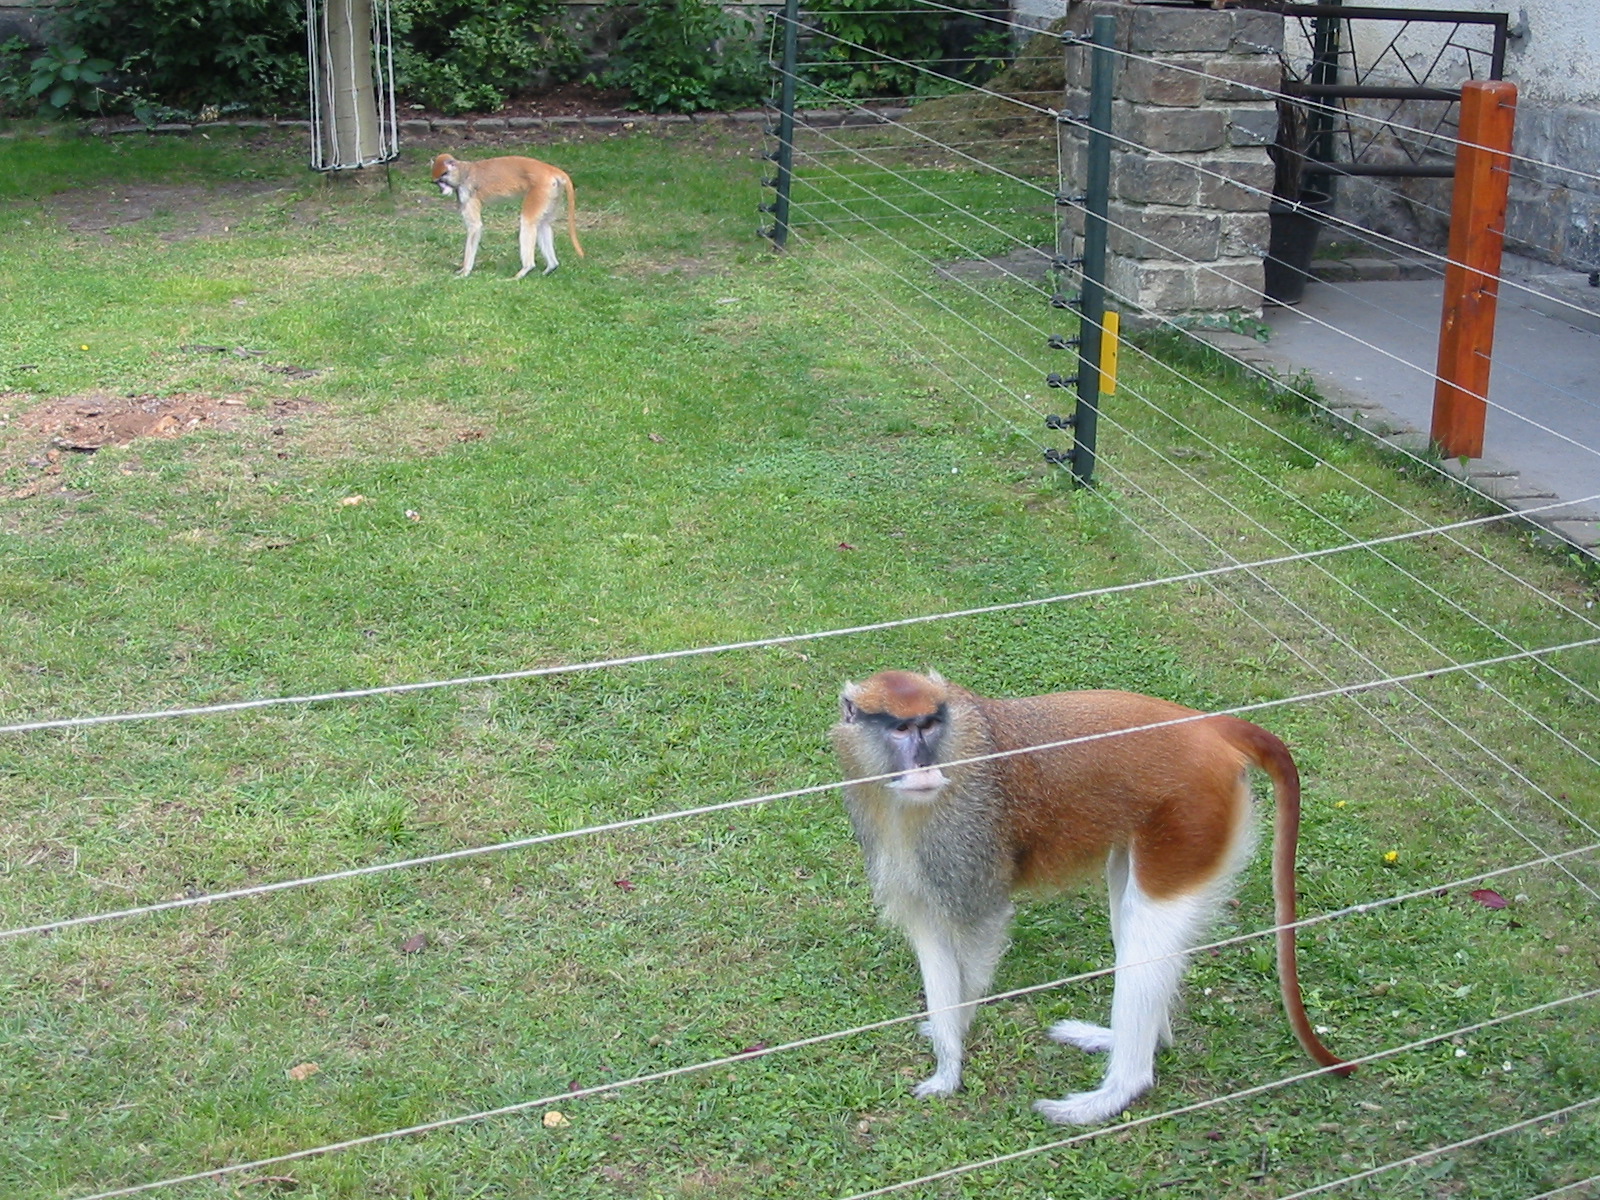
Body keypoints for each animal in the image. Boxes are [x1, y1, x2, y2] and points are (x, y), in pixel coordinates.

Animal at [430, 152, 585, 279]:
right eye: (437, 183)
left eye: (442, 180)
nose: (441, 190)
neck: (463, 172)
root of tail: (550, 170)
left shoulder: (466, 191)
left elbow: (475, 227)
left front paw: (465, 272)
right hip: (552, 191)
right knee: (543, 224)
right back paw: (551, 266)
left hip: (540, 190)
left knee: (527, 222)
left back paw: (525, 270)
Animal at [830, 669, 1349, 1125]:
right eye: (901, 729)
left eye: (929, 725)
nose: (924, 765)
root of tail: (1203, 724)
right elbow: (932, 939)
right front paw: (944, 1053)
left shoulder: (968, 842)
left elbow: (981, 932)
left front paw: (953, 1045)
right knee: (1130, 912)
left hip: (1193, 817)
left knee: (1148, 931)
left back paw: (1117, 1090)